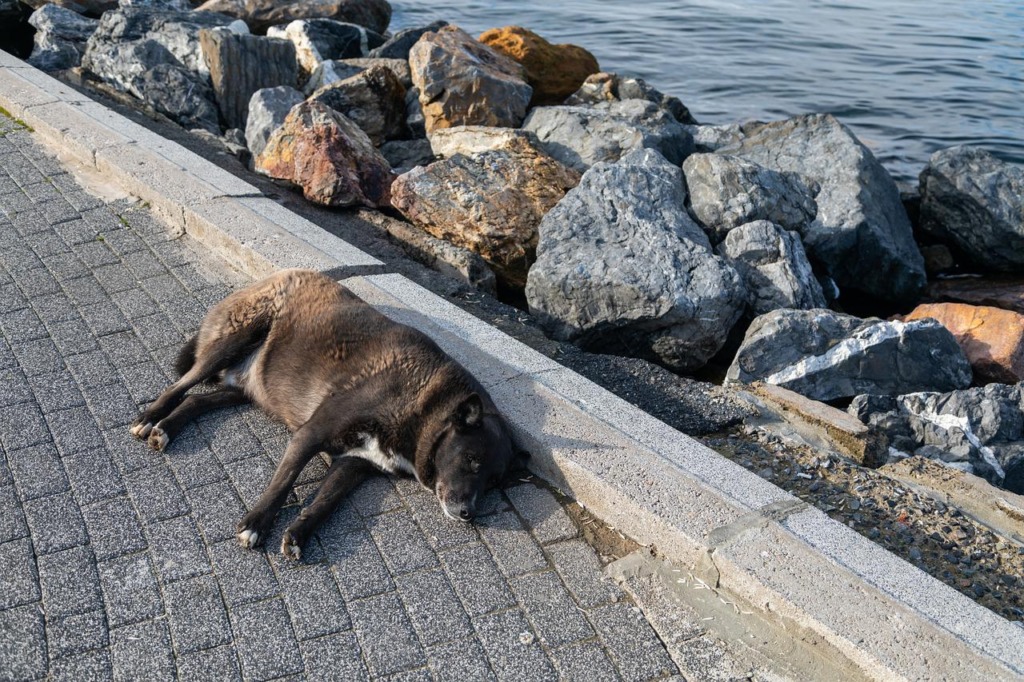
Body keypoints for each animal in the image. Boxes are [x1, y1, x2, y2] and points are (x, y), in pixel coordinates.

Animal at [130, 268, 520, 557]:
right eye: (471, 461)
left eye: (494, 483)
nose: (470, 514)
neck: (424, 409)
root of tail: (281, 273)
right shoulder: (312, 434)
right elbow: (284, 482)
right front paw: (257, 523)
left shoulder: (353, 465)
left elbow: (325, 503)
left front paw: (299, 532)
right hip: (234, 340)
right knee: (182, 385)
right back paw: (150, 417)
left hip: (245, 390)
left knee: (195, 401)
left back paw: (166, 427)